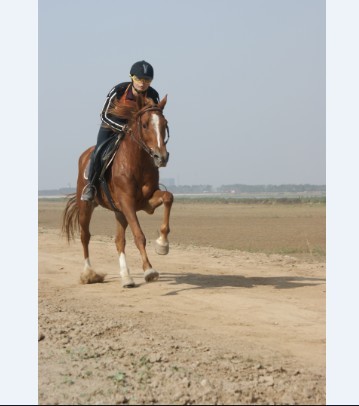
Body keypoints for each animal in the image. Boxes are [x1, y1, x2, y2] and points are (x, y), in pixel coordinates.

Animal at [62, 93, 174, 288]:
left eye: (164, 124)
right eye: (145, 124)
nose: (161, 157)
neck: (137, 162)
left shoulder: (146, 202)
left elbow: (168, 197)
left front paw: (162, 244)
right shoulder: (127, 202)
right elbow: (139, 235)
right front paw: (149, 270)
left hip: (119, 212)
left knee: (119, 241)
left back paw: (126, 277)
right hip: (86, 206)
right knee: (85, 236)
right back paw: (89, 274)